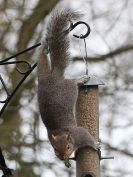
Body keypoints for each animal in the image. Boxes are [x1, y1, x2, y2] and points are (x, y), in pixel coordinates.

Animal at [37, 7, 98, 163]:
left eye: (69, 147)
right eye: (55, 150)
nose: (63, 157)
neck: (60, 132)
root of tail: (52, 76)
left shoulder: (80, 133)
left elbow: (87, 137)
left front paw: (95, 145)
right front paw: (67, 163)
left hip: (68, 88)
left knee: (72, 82)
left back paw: (80, 79)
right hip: (43, 71)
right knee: (42, 57)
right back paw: (45, 47)